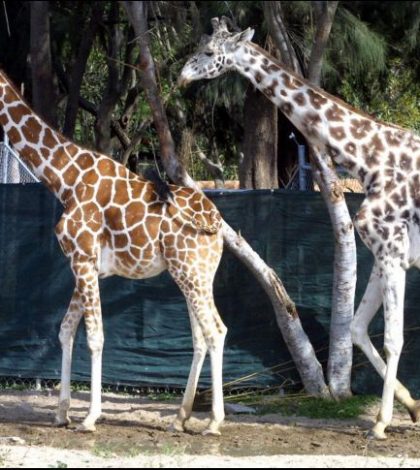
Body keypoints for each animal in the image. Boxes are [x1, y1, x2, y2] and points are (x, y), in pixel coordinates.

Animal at [0, 70, 228, 436]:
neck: (64, 178)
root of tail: (217, 222)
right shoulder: (85, 265)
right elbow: (65, 330)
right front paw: (61, 413)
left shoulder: (83, 259)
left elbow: (94, 336)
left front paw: (90, 417)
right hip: (196, 274)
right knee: (201, 336)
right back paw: (179, 417)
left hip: (189, 271)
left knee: (215, 331)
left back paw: (213, 422)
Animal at [179, 15, 420, 440]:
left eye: (208, 51)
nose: (181, 76)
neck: (369, 159)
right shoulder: (387, 253)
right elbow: (358, 328)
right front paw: (410, 408)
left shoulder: (390, 248)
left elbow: (393, 338)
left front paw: (380, 423)